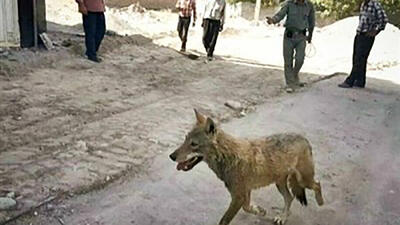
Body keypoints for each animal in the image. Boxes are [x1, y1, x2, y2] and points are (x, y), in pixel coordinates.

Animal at [170, 108, 324, 223]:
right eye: (185, 139)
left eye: (194, 144)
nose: (171, 156)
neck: (227, 157)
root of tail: (304, 138)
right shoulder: (244, 193)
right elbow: (247, 207)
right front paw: (259, 210)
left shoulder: (238, 196)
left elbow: (224, 220)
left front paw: (258, 210)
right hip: (280, 184)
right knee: (290, 197)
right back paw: (282, 218)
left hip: (303, 180)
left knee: (317, 184)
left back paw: (320, 202)